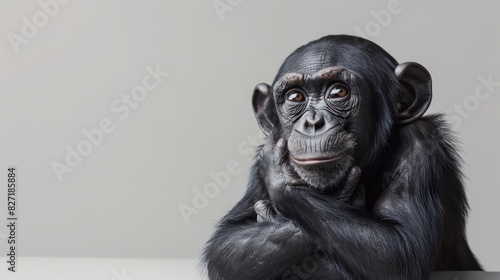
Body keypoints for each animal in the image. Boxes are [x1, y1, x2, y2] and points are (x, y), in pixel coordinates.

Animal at [201, 35, 482, 280]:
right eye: (295, 97)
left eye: (338, 92)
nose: (313, 122)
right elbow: (228, 245)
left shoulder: (420, 144)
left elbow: (400, 251)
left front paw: (282, 181)